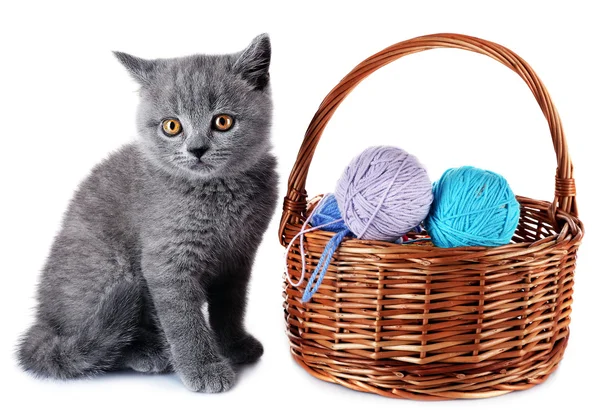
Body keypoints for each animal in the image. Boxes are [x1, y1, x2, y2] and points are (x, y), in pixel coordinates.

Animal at [16, 33, 278, 392]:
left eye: (223, 121)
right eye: (172, 126)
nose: (197, 149)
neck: (217, 193)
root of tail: (41, 318)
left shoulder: (239, 259)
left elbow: (231, 306)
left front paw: (234, 345)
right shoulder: (165, 262)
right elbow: (183, 320)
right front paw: (203, 367)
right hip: (109, 268)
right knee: (101, 344)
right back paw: (150, 352)